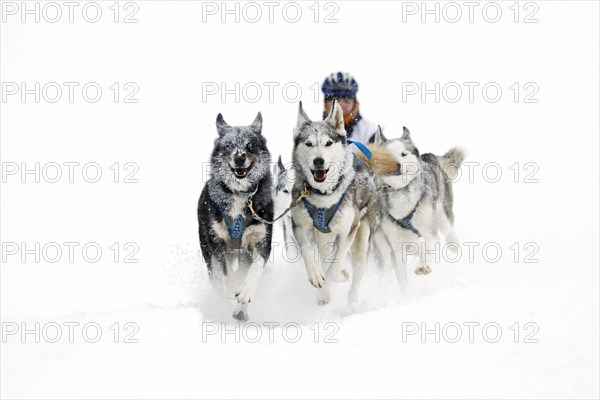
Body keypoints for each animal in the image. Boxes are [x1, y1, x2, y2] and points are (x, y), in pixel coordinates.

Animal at [197, 112, 274, 322]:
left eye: (250, 145)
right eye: (229, 145)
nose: (239, 158)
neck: (240, 195)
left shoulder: (261, 242)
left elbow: (255, 269)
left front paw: (245, 291)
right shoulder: (217, 242)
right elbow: (226, 272)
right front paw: (232, 289)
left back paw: (241, 310)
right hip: (208, 252)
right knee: (217, 279)